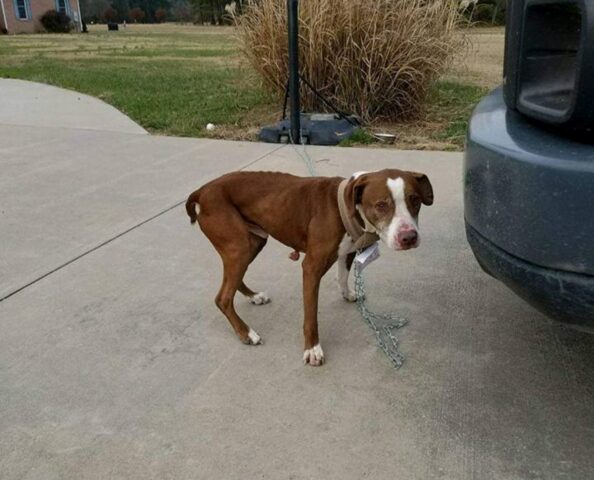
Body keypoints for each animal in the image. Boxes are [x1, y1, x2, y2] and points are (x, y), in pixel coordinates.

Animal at [187, 170, 432, 368]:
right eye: (381, 205)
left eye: (415, 200)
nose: (409, 237)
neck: (345, 206)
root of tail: (202, 191)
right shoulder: (311, 268)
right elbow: (311, 315)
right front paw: (312, 349)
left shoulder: (347, 251)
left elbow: (342, 275)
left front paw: (347, 294)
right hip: (238, 247)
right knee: (223, 297)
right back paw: (246, 333)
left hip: (253, 243)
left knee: (233, 280)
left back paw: (254, 296)